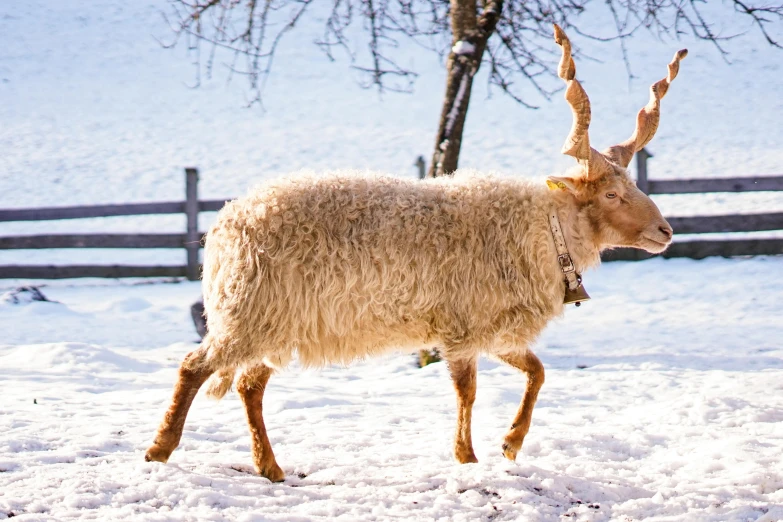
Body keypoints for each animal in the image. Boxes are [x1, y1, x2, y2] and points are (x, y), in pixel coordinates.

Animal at [147, 24, 688, 480]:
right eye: (612, 194)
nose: (665, 231)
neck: (539, 230)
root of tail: (225, 223)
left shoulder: (493, 327)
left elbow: (536, 372)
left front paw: (511, 443)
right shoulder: (463, 325)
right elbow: (467, 391)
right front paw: (467, 458)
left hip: (277, 322)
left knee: (248, 385)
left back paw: (269, 466)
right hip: (247, 312)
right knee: (194, 366)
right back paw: (160, 448)